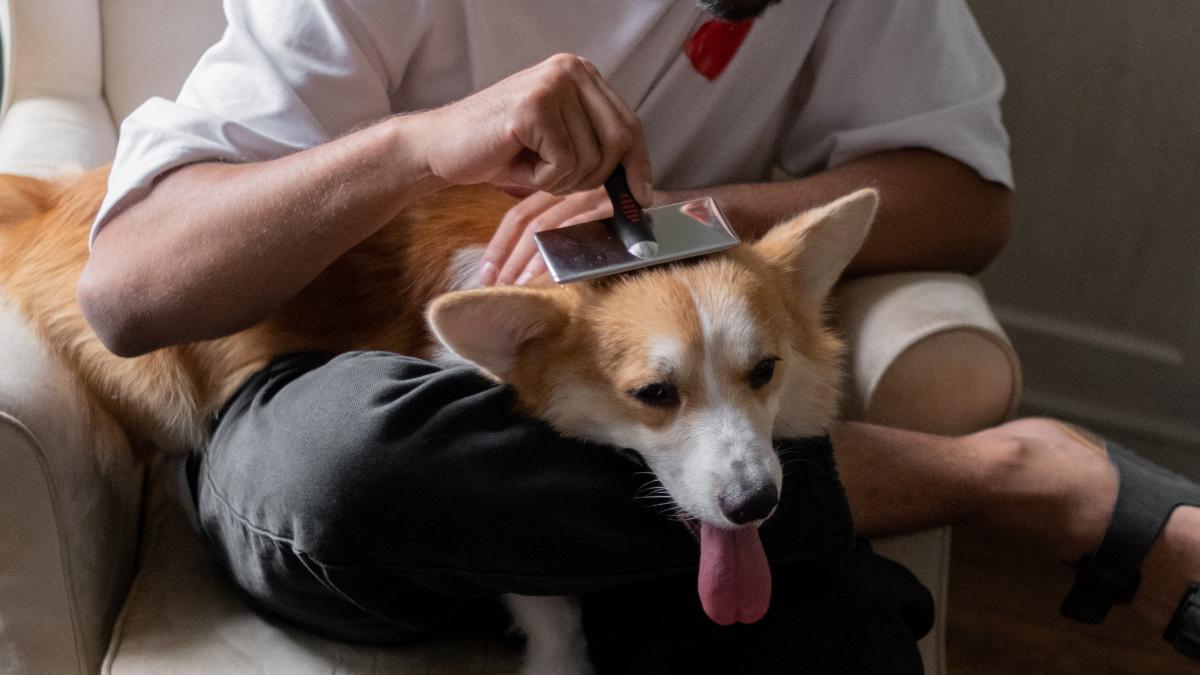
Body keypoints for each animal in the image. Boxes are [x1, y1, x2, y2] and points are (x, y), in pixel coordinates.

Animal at [2, 164, 883, 672]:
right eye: (654, 395)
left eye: (763, 371)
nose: (756, 504)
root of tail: (51, 194)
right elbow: (548, 611)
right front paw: (559, 659)